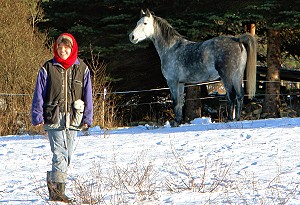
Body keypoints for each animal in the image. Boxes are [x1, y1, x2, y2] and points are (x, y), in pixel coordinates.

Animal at [127, 9, 256, 126]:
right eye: (137, 22)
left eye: (145, 23)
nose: (131, 36)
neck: (171, 48)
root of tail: (237, 39)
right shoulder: (180, 83)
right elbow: (180, 102)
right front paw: (178, 122)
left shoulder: (172, 81)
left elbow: (175, 101)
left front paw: (175, 123)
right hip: (237, 76)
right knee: (240, 95)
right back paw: (237, 118)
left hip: (227, 76)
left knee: (231, 95)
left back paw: (229, 119)